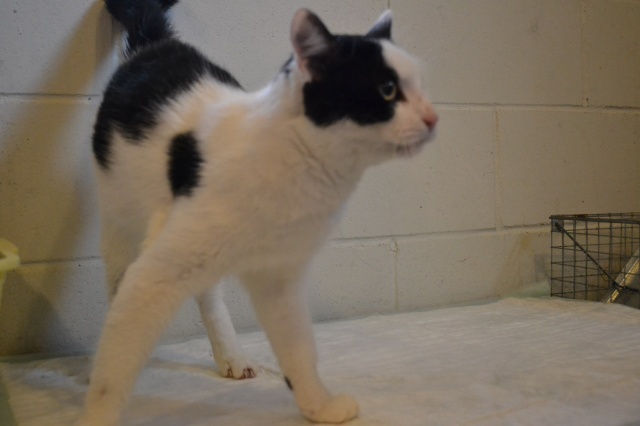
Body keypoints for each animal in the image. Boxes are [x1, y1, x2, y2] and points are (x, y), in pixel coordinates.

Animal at [80, 0, 437, 424]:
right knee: (119, 290)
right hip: (122, 226)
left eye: (420, 86)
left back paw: (230, 356)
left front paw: (318, 404)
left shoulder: (279, 279)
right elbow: (115, 367)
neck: (293, 163)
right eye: (387, 90)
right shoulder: (154, 274)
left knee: (208, 294)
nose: (433, 117)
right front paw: (98, 412)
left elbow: (299, 347)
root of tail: (155, 46)